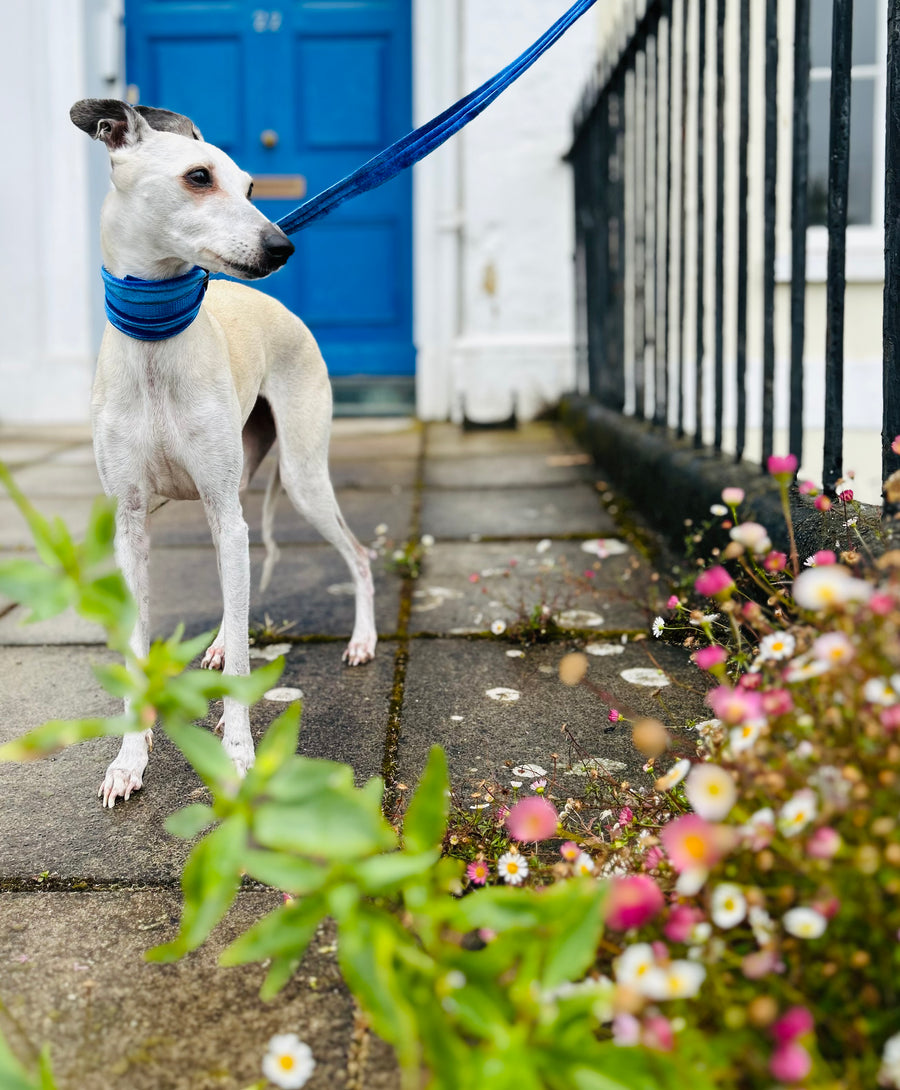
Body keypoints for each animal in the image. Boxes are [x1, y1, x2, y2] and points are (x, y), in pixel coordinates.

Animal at [70, 100, 374, 810]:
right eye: (199, 176)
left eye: (253, 187)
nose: (282, 247)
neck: (156, 345)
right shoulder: (132, 524)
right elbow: (140, 649)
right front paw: (129, 760)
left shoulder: (219, 510)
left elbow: (241, 654)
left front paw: (237, 757)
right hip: (234, 493)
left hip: (300, 477)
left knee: (358, 555)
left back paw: (362, 640)